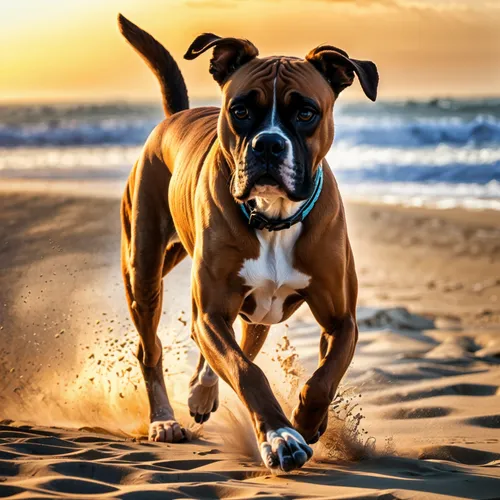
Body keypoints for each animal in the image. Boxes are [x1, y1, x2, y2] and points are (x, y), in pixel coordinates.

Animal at [116, 12, 376, 472]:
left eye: (306, 112)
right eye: (240, 111)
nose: (268, 144)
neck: (273, 216)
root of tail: (175, 117)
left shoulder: (341, 320)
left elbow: (323, 378)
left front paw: (307, 423)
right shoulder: (212, 310)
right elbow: (245, 373)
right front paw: (280, 437)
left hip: (256, 313)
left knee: (232, 344)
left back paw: (201, 393)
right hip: (143, 273)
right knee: (152, 350)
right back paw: (164, 420)